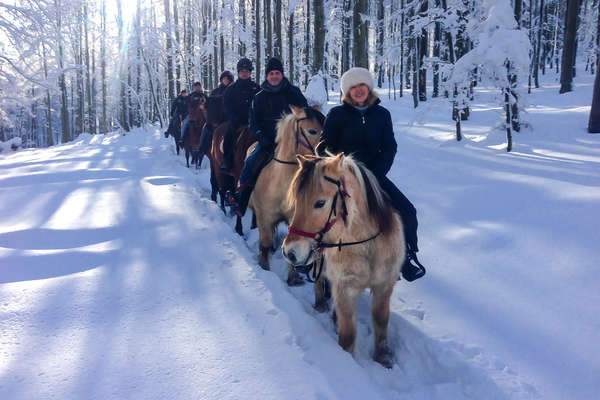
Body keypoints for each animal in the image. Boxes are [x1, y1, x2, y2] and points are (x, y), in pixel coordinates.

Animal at [246, 104, 326, 290]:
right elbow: (264, 245)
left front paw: (293, 278)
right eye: (312, 130)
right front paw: (264, 268)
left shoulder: (295, 219)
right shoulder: (265, 217)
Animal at [282, 154, 404, 368]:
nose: (290, 252)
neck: (367, 246)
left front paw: (383, 358)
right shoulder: (345, 289)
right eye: (296, 200)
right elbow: (347, 336)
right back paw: (321, 304)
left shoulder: (384, 285)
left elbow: (381, 319)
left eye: (320, 203)